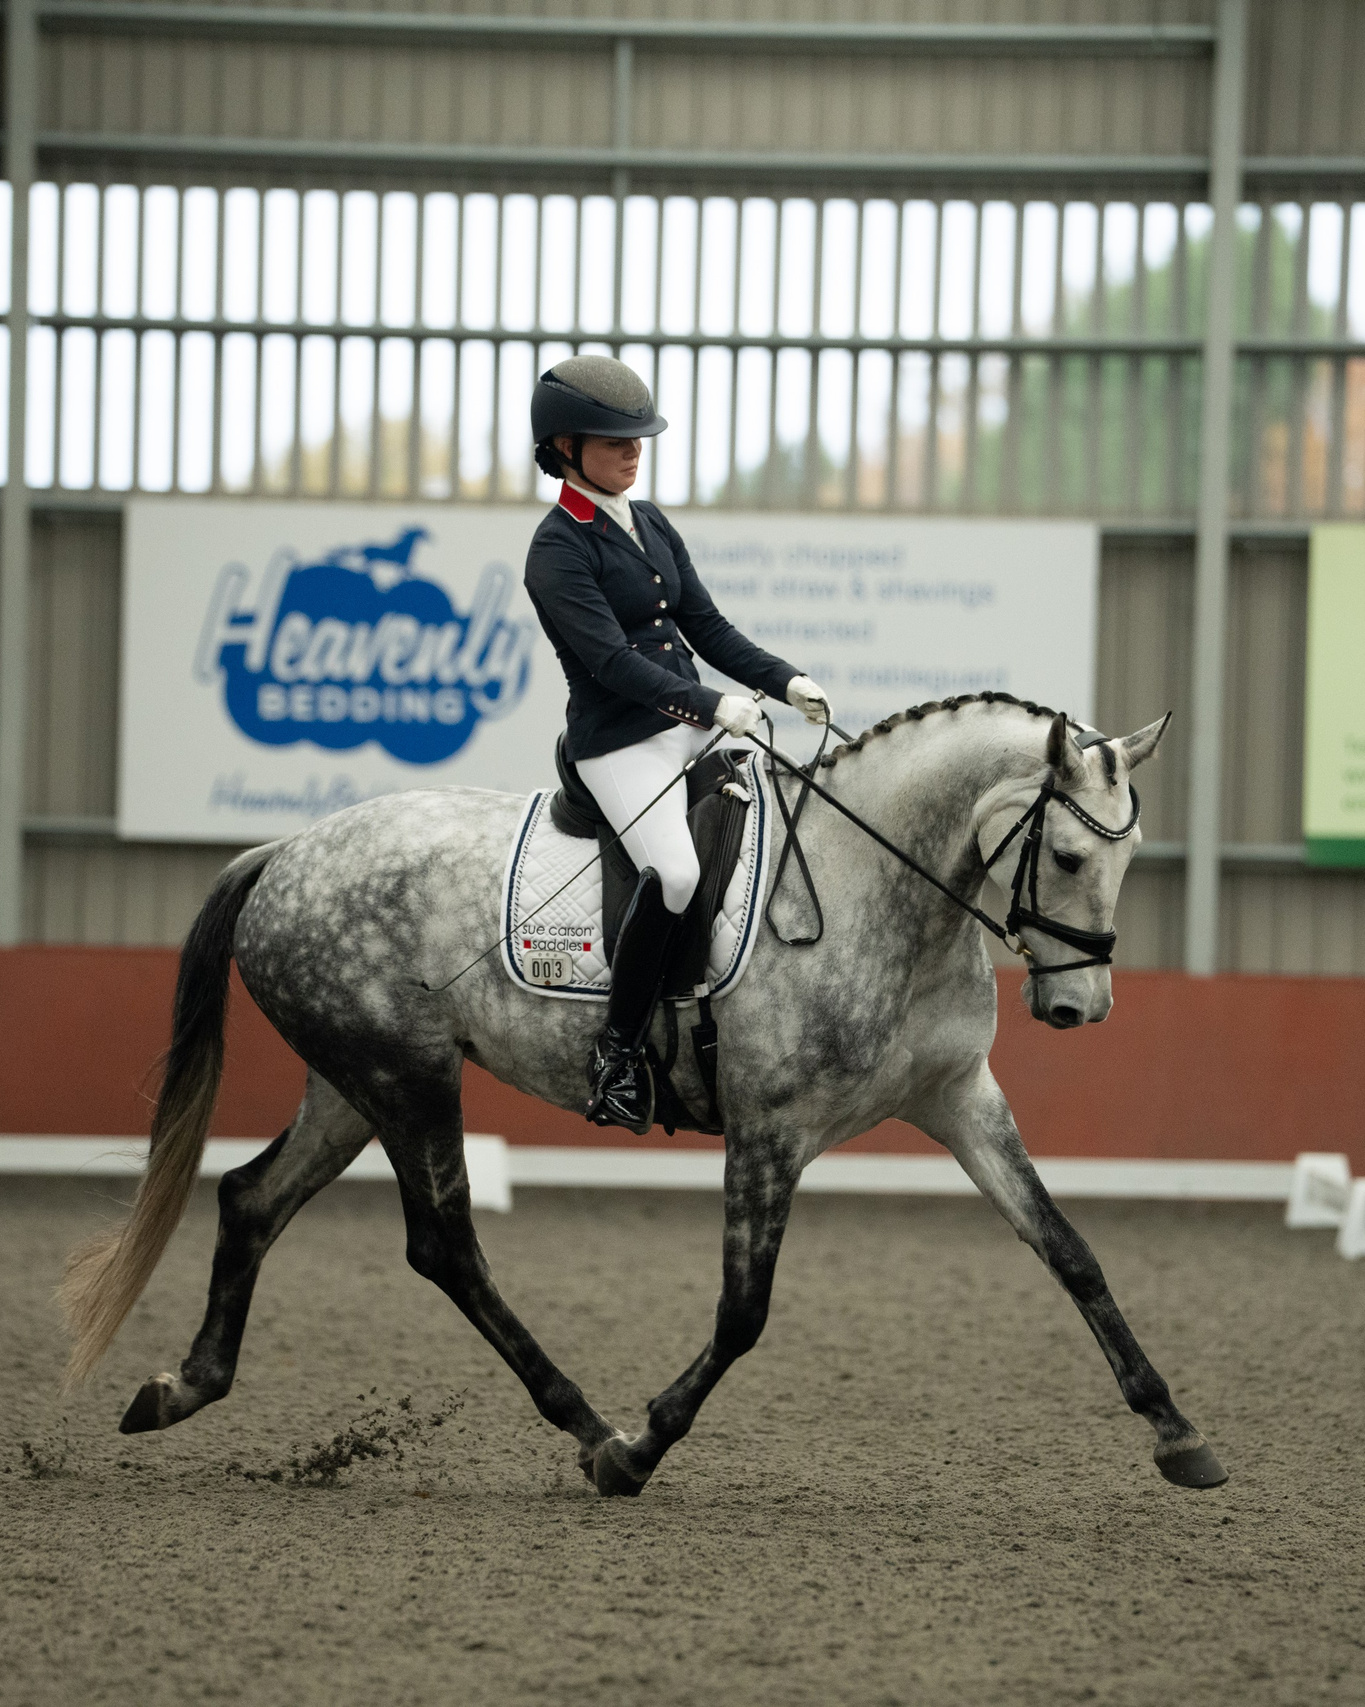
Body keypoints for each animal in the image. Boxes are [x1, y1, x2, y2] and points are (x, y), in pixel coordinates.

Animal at [59, 691, 1228, 1495]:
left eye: (1126, 854)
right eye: (1067, 855)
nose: (1079, 1007)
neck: (881, 891)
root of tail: (285, 849)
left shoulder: (960, 1098)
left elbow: (1068, 1250)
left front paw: (1179, 1435)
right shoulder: (770, 1131)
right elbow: (744, 1310)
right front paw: (643, 1445)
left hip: (355, 1082)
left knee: (252, 1199)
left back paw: (180, 1388)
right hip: (408, 1078)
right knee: (444, 1245)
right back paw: (587, 1427)